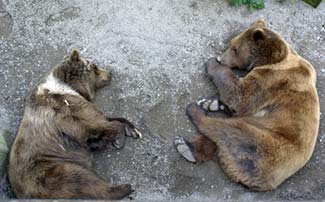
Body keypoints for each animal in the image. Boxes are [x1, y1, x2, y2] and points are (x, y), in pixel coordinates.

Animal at [7, 50, 140, 199]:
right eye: (94, 66)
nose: (110, 73)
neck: (69, 86)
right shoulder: (65, 108)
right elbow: (94, 125)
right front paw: (118, 139)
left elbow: (102, 121)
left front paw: (133, 130)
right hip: (47, 170)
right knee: (80, 180)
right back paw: (124, 187)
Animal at [175, 19, 318, 191]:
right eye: (230, 43)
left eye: (235, 49)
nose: (220, 59)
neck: (276, 60)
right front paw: (212, 102)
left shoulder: (274, 80)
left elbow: (240, 95)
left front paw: (211, 64)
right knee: (220, 143)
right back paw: (186, 145)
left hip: (266, 146)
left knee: (229, 130)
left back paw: (194, 113)